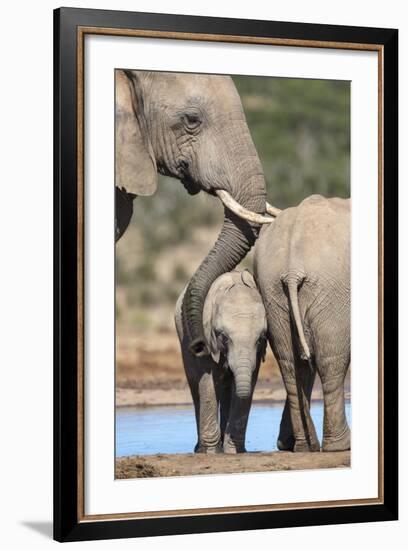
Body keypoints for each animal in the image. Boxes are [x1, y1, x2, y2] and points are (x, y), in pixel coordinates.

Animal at [175, 270, 268, 454]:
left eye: (261, 338)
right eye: (223, 337)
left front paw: (233, 450)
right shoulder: (206, 337)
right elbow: (208, 384)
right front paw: (212, 451)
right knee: (196, 387)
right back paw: (200, 448)